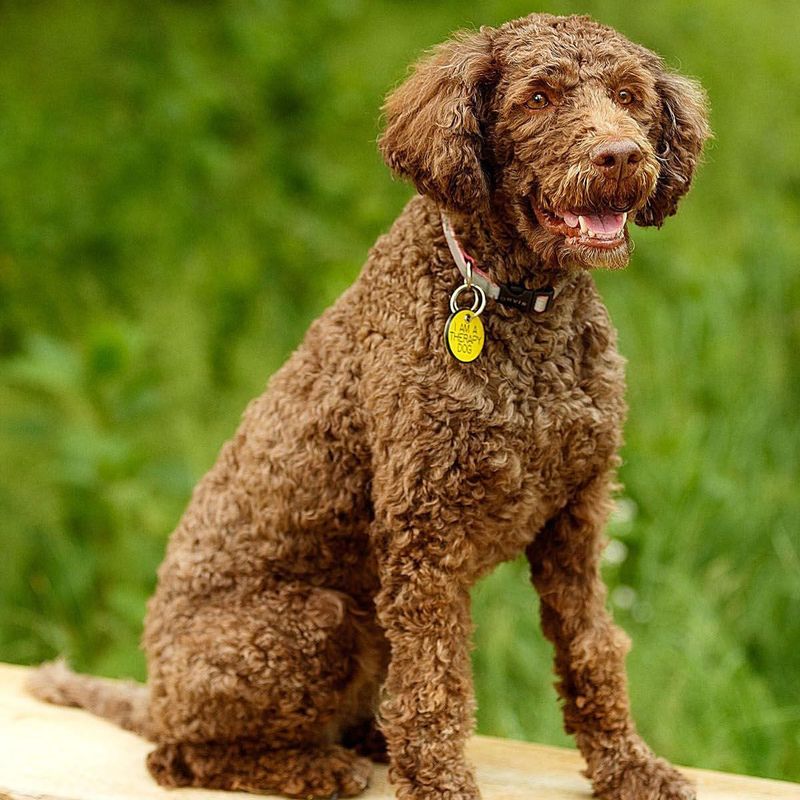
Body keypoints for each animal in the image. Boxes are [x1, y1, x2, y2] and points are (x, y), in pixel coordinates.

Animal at [28, 12, 708, 800]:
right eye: (539, 98)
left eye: (630, 96)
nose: (622, 155)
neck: (518, 306)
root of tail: (154, 693)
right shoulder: (425, 536)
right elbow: (436, 687)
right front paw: (442, 785)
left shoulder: (578, 517)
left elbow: (592, 650)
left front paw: (629, 766)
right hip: (314, 623)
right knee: (184, 757)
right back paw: (318, 766)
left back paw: (370, 740)